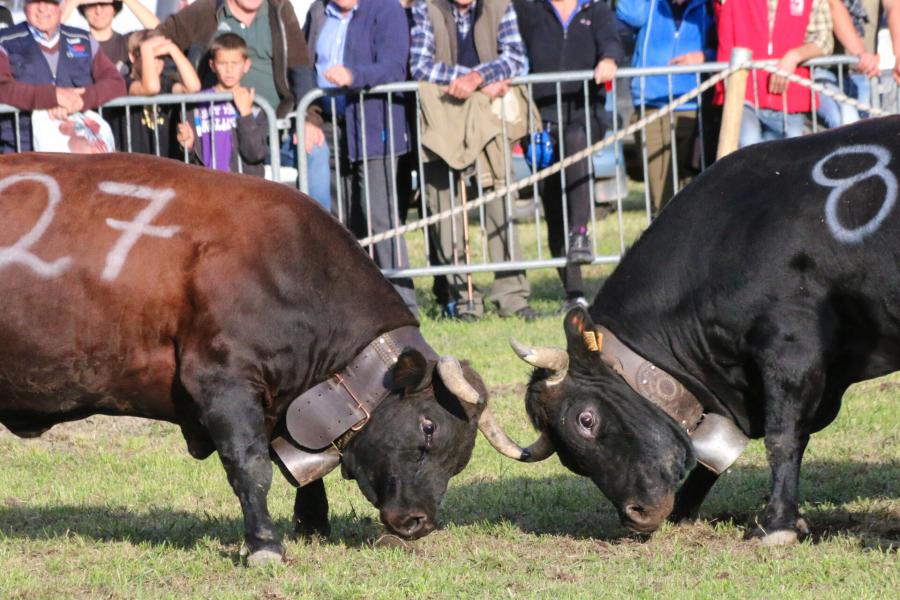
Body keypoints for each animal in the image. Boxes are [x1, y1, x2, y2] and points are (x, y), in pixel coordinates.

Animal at [0, 152, 532, 564]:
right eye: (427, 427)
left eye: (460, 461)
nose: (420, 522)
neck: (285, 269)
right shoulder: (224, 382)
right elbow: (251, 466)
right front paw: (265, 545)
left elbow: (302, 466)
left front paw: (313, 522)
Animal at [510, 117, 900, 544]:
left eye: (586, 420)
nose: (635, 514)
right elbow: (714, 457)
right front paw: (688, 507)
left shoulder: (792, 348)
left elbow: (783, 437)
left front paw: (776, 523)